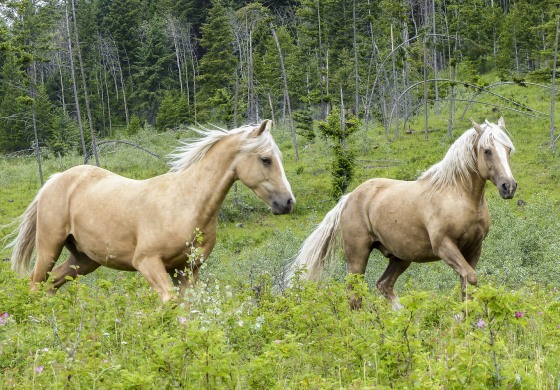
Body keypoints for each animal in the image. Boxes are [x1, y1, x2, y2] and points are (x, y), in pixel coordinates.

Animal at [8, 119, 296, 302]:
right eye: (266, 159)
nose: (287, 202)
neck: (187, 205)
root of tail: (55, 180)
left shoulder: (187, 270)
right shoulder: (147, 263)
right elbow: (169, 303)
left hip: (84, 259)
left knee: (51, 284)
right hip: (49, 246)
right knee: (35, 284)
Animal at [288, 117, 516, 310]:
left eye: (508, 149)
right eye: (487, 150)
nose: (509, 186)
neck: (458, 195)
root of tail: (349, 197)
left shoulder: (474, 248)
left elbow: (467, 285)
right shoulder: (445, 246)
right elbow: (470, 278)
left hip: (400, 257)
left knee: (383, 285)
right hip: (357, 256)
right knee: (354, 294)